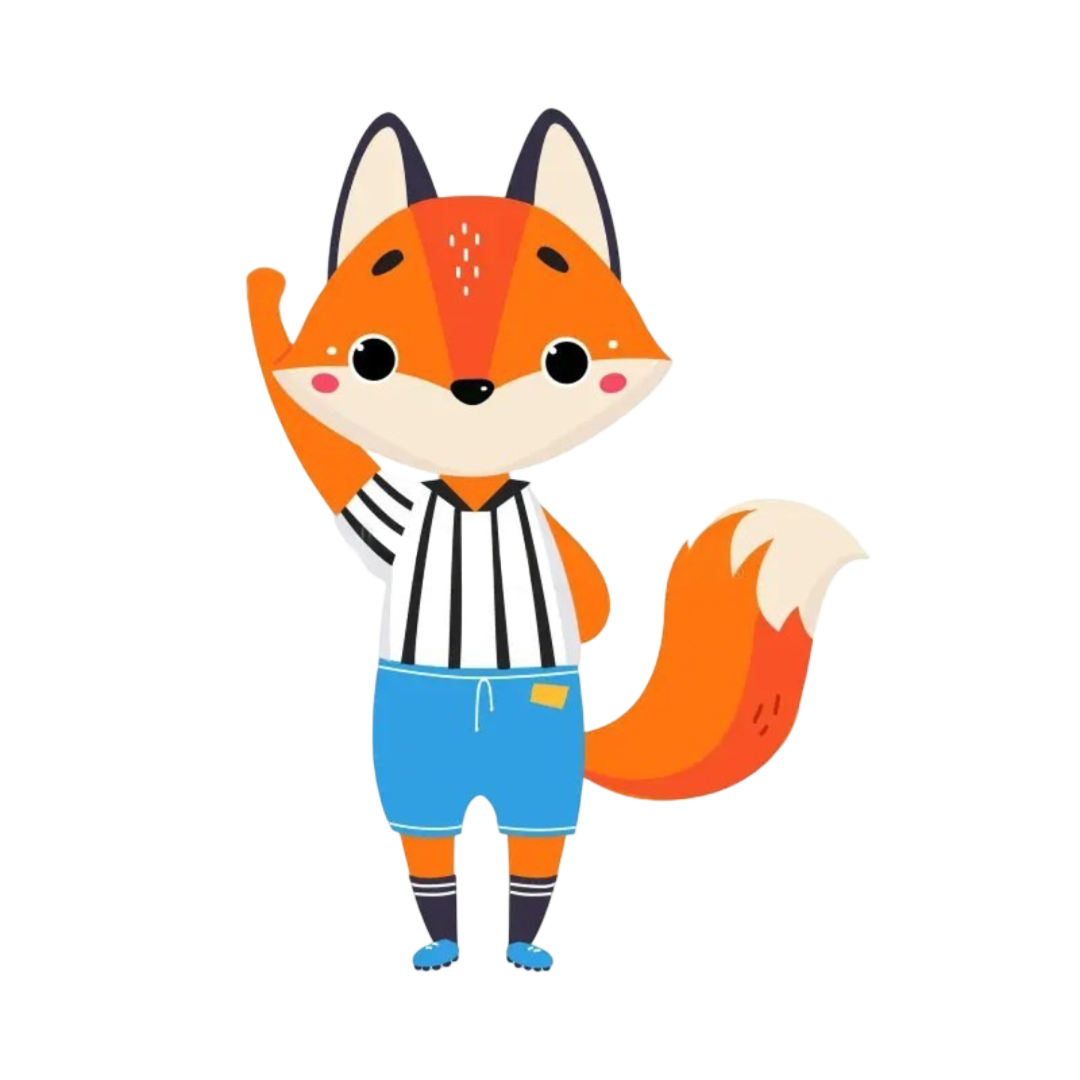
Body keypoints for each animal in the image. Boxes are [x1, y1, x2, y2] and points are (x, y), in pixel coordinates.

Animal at [245, 108, 871, 973]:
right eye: (372, 357)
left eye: (567, 361)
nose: (471, 392)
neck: (475, 493)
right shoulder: (392, 513)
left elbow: (596, 602)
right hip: (415, 764)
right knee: (428, 846)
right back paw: (442, 946)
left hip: (541, 767)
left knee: (534, 849)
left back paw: (523, 948)